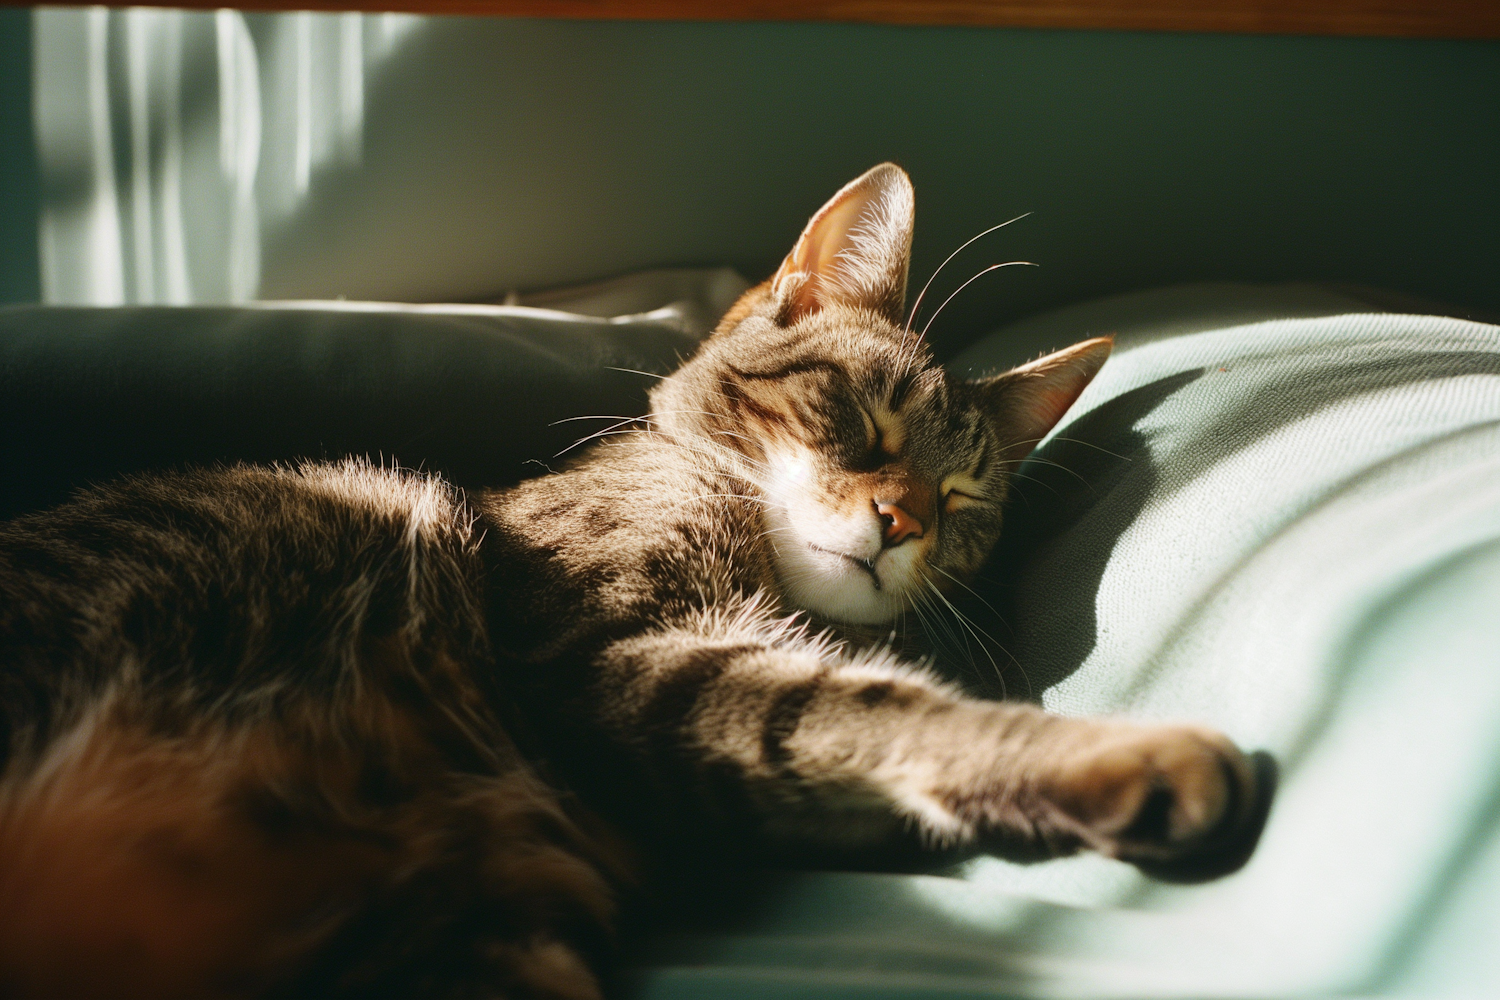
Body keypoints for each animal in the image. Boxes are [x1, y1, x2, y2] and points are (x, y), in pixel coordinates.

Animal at [0, 166, 1260, 1000]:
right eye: (864, 418)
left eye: (962, 503)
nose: (902, 521)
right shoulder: (613, 660)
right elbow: (885, 709)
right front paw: (1128, 754)